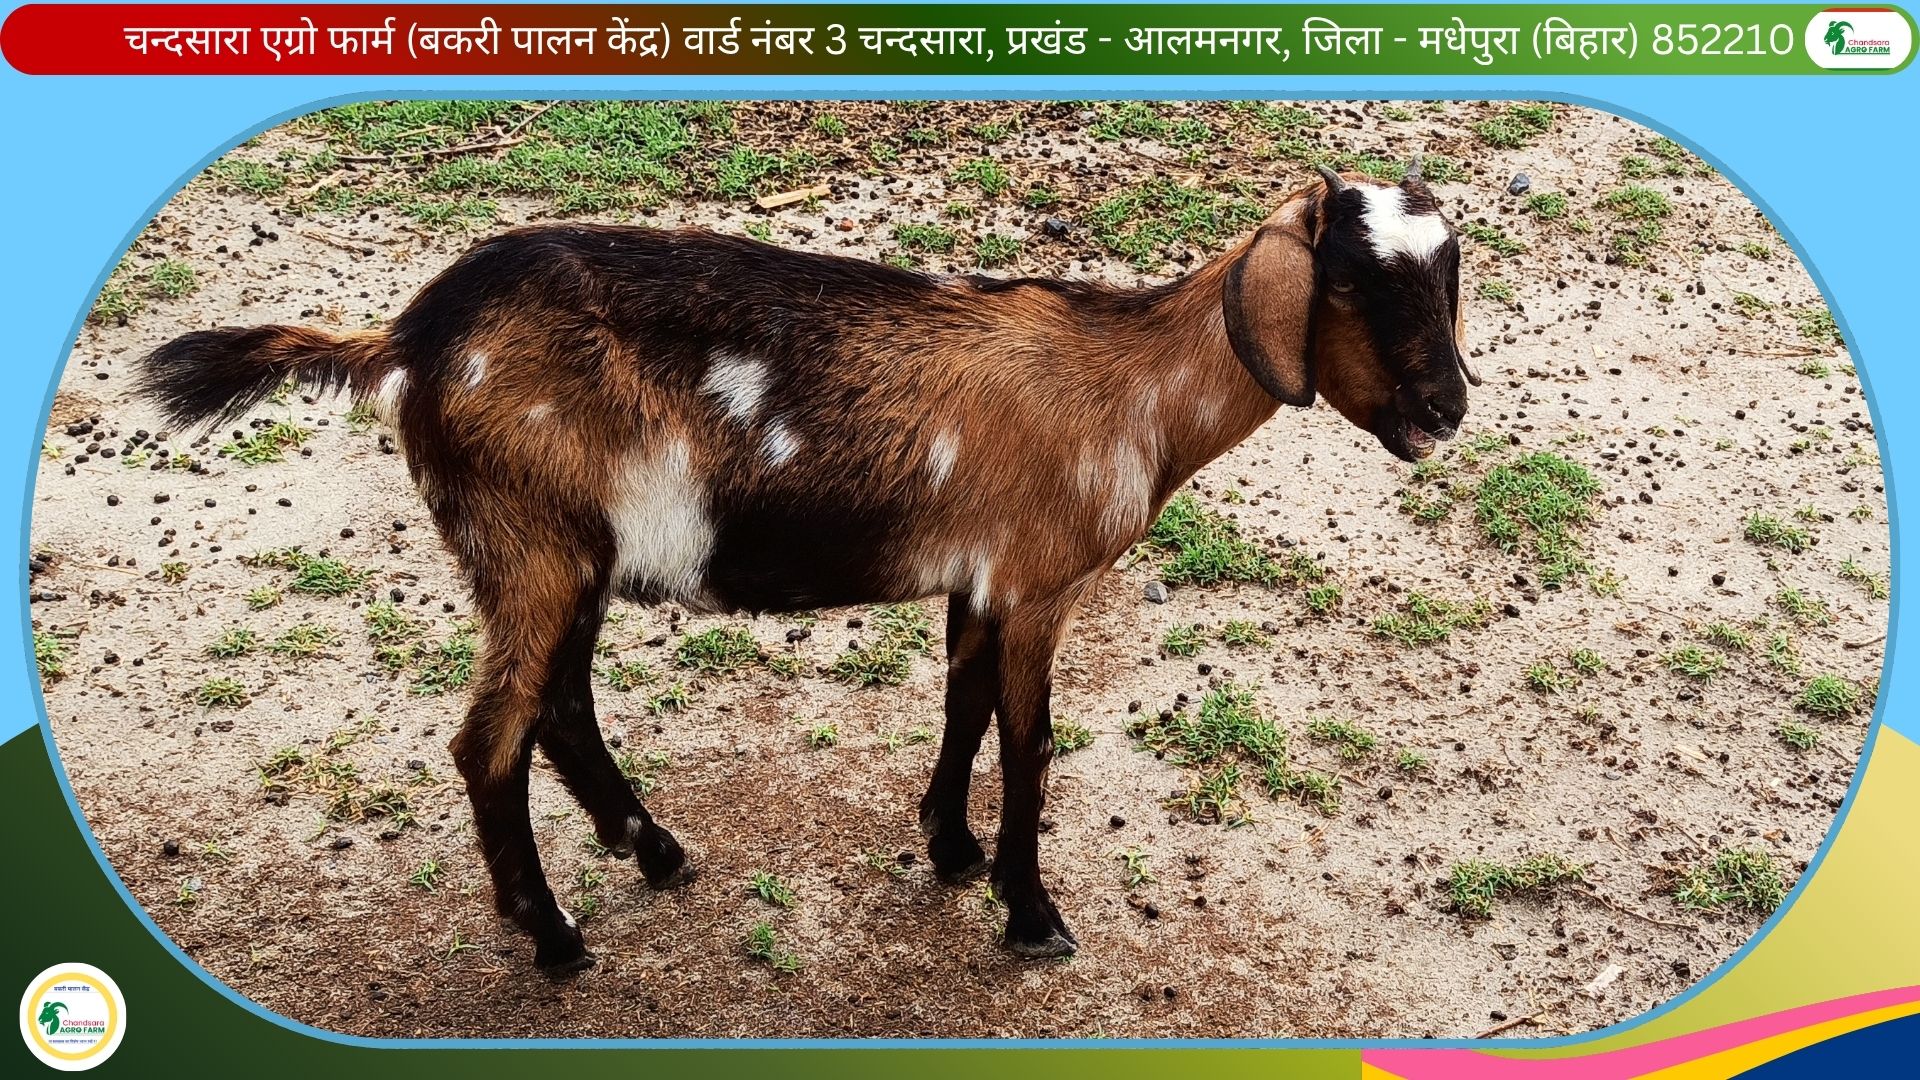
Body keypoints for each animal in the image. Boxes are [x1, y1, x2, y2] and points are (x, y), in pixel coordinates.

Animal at [137, 164, 1477, 971]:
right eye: (1352, 280)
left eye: (1450, 274)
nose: (1448, 408)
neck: (1128, 387)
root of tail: (410, 337)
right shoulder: (1038, 584)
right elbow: (1030, 747)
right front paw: (1032, 915)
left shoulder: (978, 581)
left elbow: (962, 709)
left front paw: (950, 850)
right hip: (532, 543)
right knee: (490, 739)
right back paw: (557, 935)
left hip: (565, 552)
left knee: (557, 706)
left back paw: (653, 851)